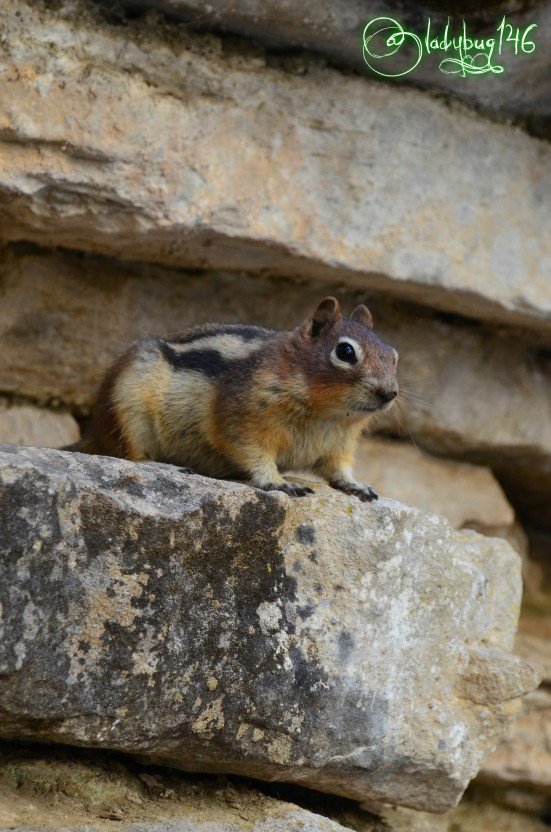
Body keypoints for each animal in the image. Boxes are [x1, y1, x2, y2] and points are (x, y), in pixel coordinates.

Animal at [74, 300, 402, 500]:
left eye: (394, 356)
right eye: (346, 352)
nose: (389, 393)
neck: (326, 414)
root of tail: (94, 432)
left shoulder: (340, 444)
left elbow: (338, 468)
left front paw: (355, 484)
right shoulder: (241, 420)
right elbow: (251, 452)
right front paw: (277, 481)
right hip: (129, 408)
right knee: (130, 456)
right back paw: (164, 466)